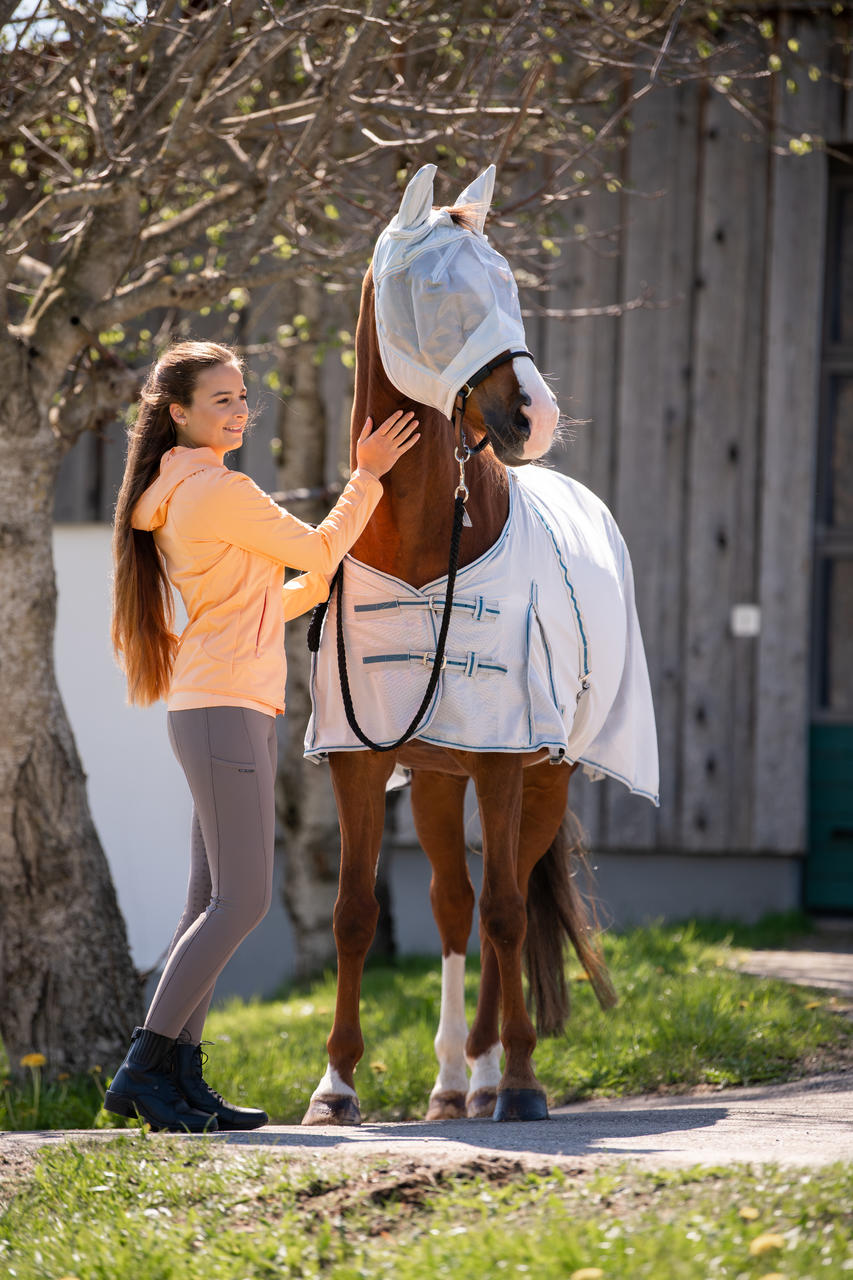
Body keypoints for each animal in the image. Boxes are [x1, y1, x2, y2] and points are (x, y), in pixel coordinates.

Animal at [302, 165, 653, 1126]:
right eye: (434, 292)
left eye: (507, 283)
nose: (536, 415)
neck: (425, 541)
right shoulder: (360, 758)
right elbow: (355, 912)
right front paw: (335, 1086)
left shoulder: (502, 755)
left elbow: (505, 913)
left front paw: (524, 1080)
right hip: (432, 773)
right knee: (453, 905)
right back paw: (454, 1081)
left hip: (540, 776)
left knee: (504, 901)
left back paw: (496, 1073)